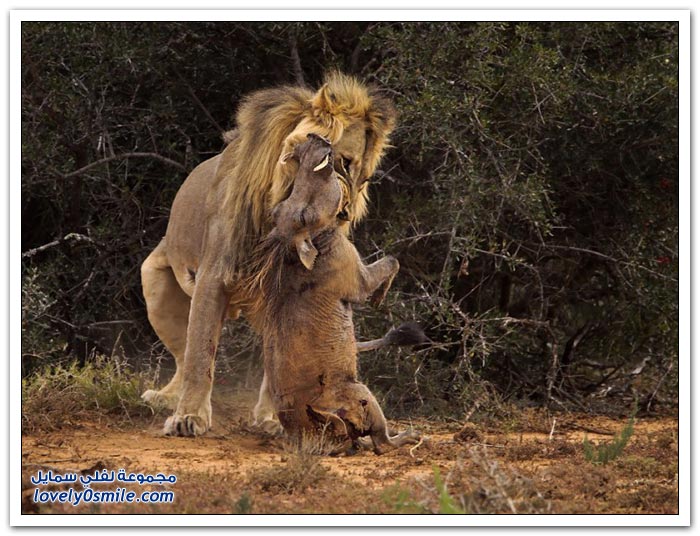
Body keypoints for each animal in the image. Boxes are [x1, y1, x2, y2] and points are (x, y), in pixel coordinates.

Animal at [140, 72, 396, 436]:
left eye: (366, 179)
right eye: (345, 162)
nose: (345, 215)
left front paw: (273, 418)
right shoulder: (213, 275)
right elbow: (200, 353)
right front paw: (188, 417)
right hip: (157, 291)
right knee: (182, 355)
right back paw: (165, 398)